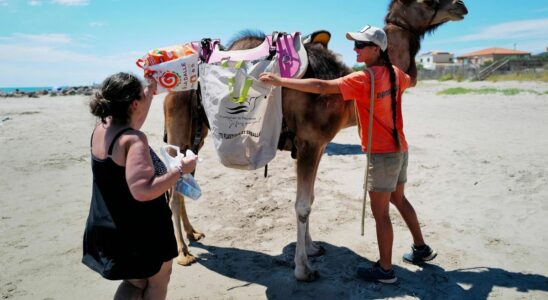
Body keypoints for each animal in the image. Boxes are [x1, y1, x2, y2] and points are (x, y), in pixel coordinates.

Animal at [163, 0, 466, 282]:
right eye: (427, 1)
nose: (461, 6)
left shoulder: (319, 145)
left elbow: (311, 198)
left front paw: (312, 248)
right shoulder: (309, 143)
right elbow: (302, 205)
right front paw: (303, 270)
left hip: (197, 137)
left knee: (183, 181)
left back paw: (193, 233)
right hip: (180, 132)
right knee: (174, 190)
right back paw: (183, 253)